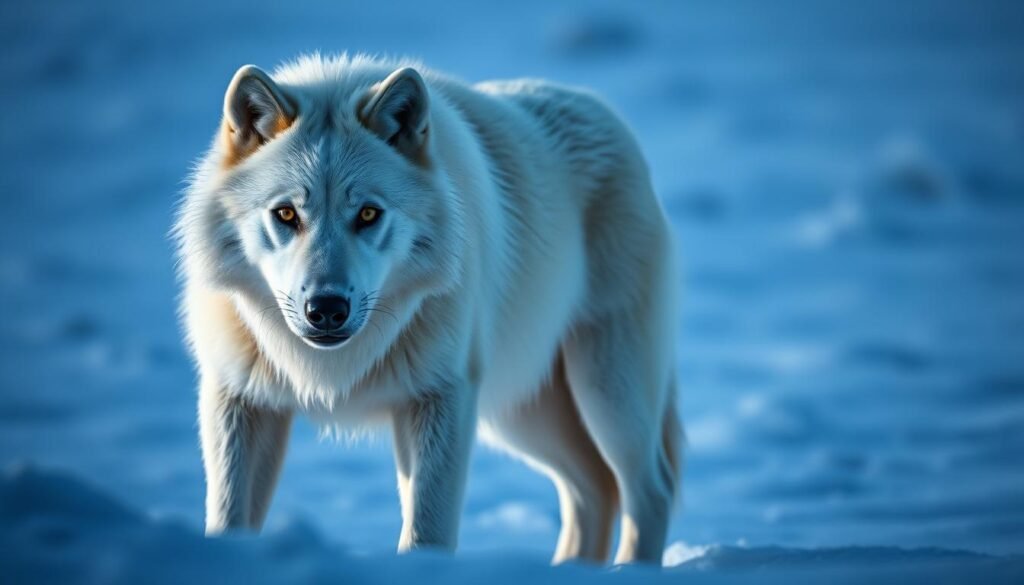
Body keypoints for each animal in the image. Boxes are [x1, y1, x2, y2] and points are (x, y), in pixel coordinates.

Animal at [175, 54, 681, 565]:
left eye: (368, 214)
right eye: (286, 214)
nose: (327, 308)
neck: (333, 370)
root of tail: (603, 111)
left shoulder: (442, 398)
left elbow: (426, 532)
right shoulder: (239, 398)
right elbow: (227, 521)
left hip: (604, 389)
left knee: (650, 487)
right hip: (521, 410)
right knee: (593, 489)